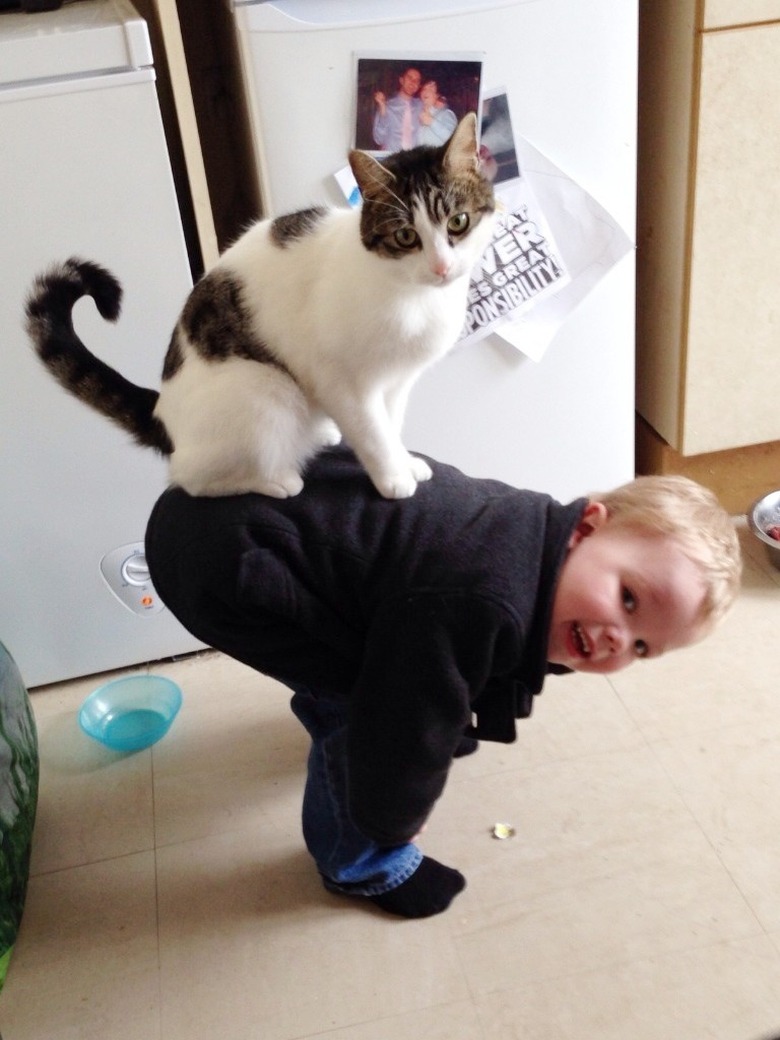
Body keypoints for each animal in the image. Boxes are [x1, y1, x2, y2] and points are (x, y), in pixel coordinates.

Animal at [30, 113, 497, 499]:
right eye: (405, 236)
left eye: (458, 222)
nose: (441, 267)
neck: (414, 296)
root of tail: (163, 413)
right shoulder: (341, 379)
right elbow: (372, 432)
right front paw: (393, 478)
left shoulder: (398, 381)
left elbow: (391, 424)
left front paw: (405, 462)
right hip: (266, 391)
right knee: (187, 477)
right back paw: (275, 480)